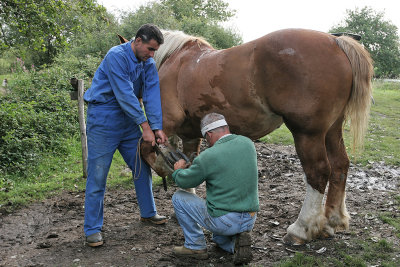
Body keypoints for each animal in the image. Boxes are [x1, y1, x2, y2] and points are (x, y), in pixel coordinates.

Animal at [120, 28, 374, 246]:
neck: (174, 60)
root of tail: (335, 41)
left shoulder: (164, 123)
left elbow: (147, 150)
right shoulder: (190, 132)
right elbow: (189, 161)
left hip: (308, 133)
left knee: (318, 172)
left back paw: (301, 229)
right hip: (332, 130)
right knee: (340, 166)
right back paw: (332, 221)